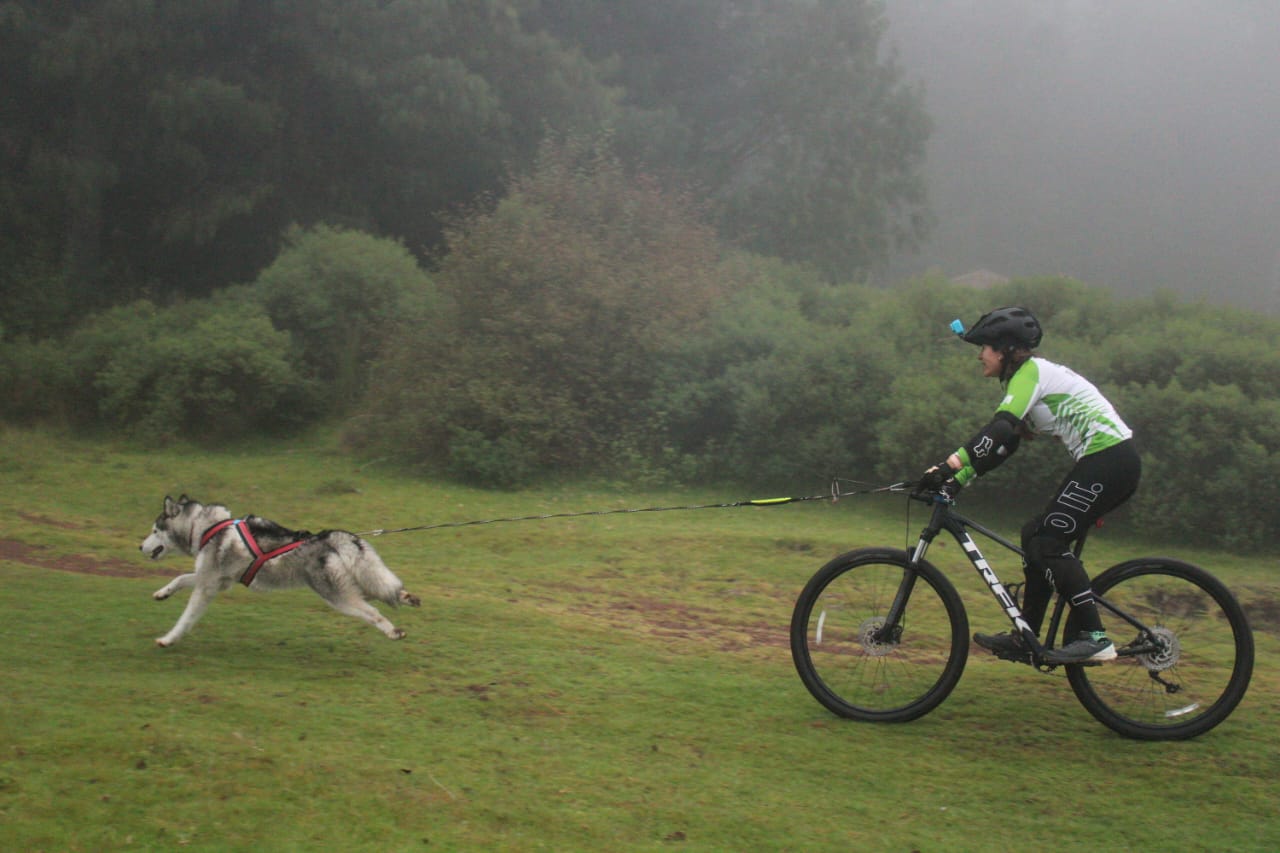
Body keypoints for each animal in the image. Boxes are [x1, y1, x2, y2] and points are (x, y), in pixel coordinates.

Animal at [140, 491, 419, 645]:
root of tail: (328, 538)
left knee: (374, 612)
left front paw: (168, 639)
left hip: (339, 597)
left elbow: (186, 618)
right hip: (358, 584)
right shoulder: (216, 580)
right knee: (387, 590)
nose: (140, 546)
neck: (206, 527)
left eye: (154, 530)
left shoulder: (208, 586)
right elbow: (179, 578)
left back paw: (393, 631)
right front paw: (162, 593)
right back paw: (407, 598)